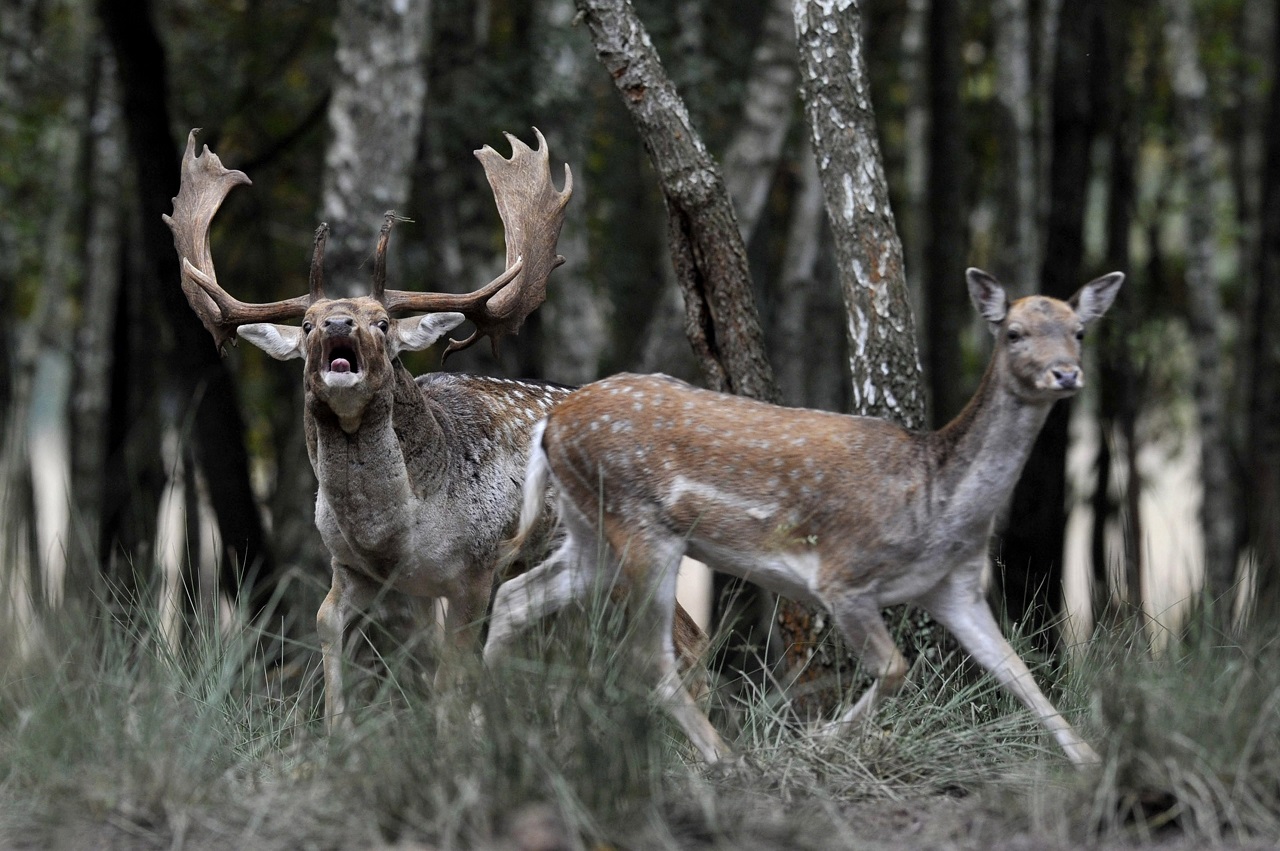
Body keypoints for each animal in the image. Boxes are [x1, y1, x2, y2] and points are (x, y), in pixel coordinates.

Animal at [161, 127, 701, 731]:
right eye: (305, 323)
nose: (339, 322)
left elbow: (452, 677)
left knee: (686, 637)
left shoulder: (477, 567)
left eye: (382, 323)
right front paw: (336, 730)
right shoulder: (353, 568)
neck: (396, 531)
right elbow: (330, 626)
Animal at [486, 268, 1121, 767]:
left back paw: (481, 720)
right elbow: (897, 667)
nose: (1066, 373)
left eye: (1079, 331)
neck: (934, 505)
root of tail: (552, 424)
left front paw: (1092, 761)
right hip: (641, 526)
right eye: (1014, 333)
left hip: (589, 529)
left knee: (515, 595)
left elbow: (1018, 672)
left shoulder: (956, 586)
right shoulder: (844, 576)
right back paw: (726, 757)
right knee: (649, 656)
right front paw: (820, 741)